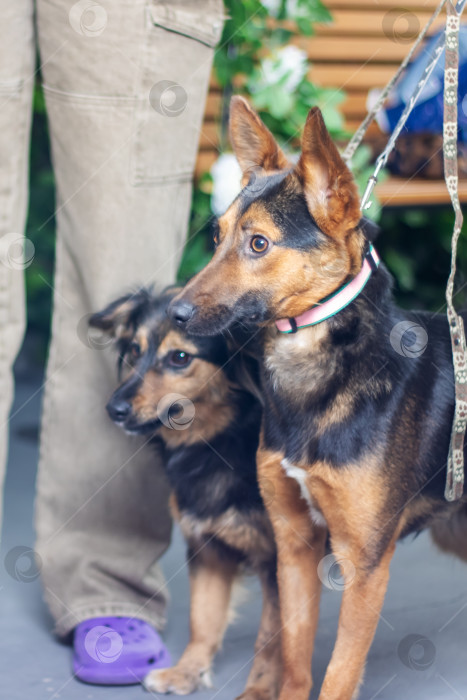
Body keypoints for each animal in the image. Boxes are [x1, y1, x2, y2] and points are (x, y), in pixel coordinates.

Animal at [90, 286, 282, 700]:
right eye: (134, 350)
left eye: (180, 357)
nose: (114, 409)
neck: (220, 440)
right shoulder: (207, 546)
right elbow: (203, 617)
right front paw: (187, 672)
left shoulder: (284, 556)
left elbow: (273, 637)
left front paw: (261, 690)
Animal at [168, 98, 467, 700]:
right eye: (216, 238)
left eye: (259, 243)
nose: (175, 315)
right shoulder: (294, 545)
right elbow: (294, 658)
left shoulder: (364, 564)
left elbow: (337, 674)